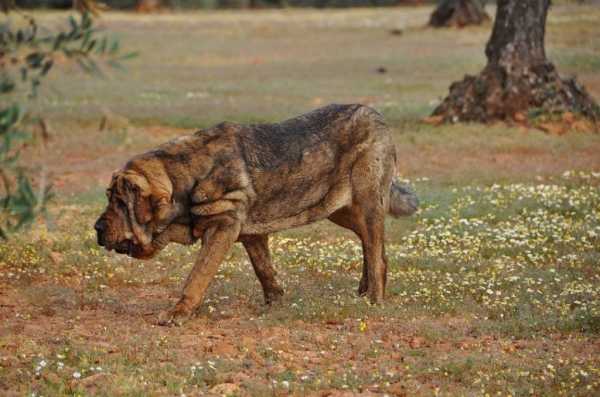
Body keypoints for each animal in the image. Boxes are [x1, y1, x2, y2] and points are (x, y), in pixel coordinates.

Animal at [96, 103, 420, 324]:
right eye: (110, 199)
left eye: (120, 203)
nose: (97, 228)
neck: (185, 178)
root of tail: (376, 115)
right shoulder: (251, 233)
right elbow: (264, 269)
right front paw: (275, 302)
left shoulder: (223, 227)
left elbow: (197, 276)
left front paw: (178, 312)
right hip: (339, 209)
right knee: (372, 247)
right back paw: (363, 290)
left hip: (367, 202)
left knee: (376, 255)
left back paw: (374, 299)